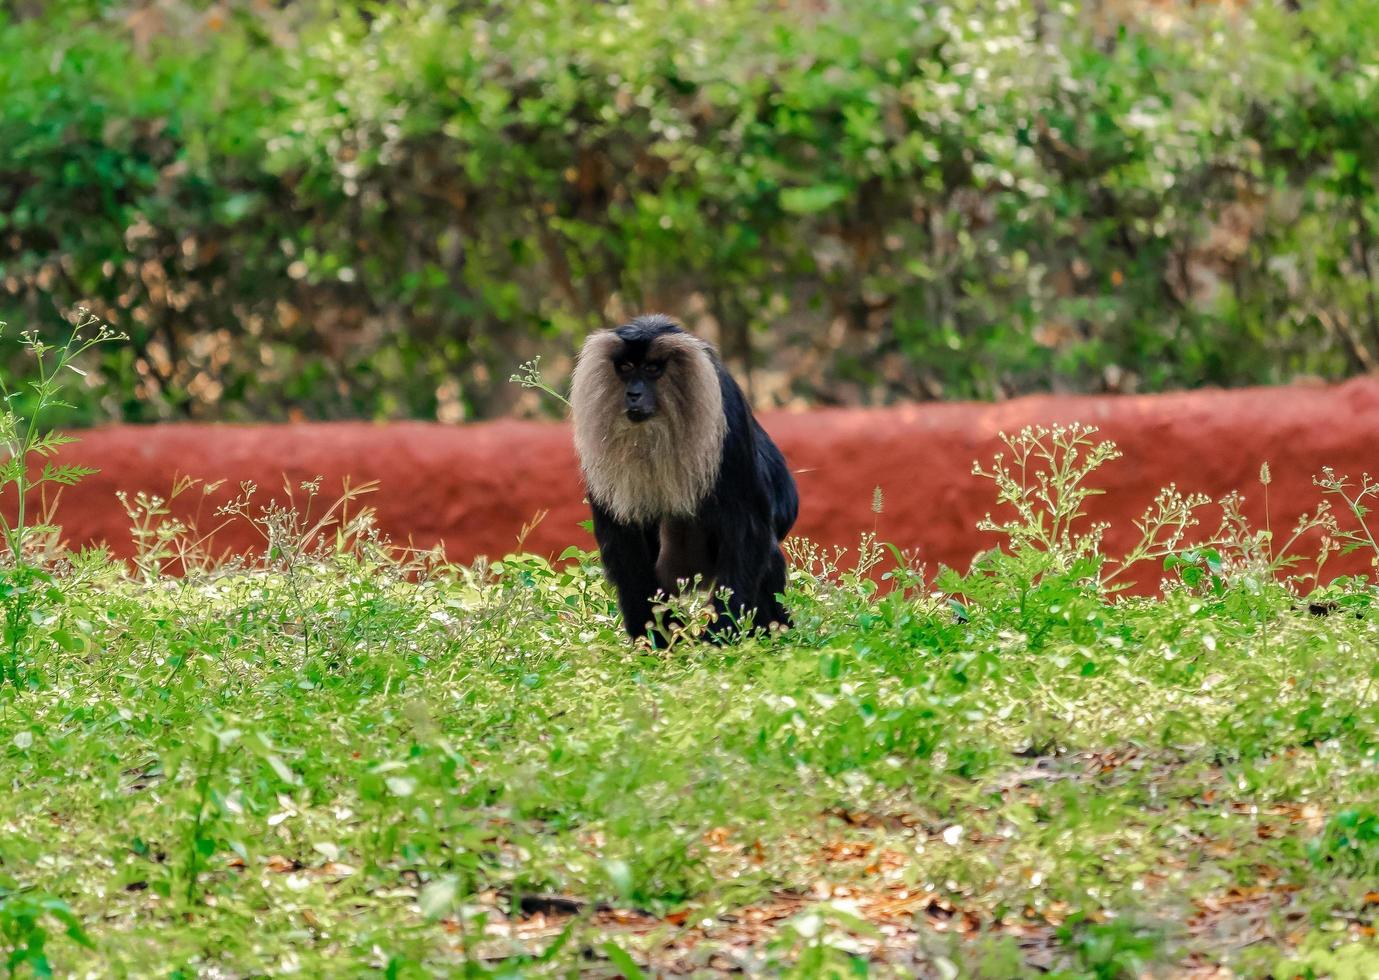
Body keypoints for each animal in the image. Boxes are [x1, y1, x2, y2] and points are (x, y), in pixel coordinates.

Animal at [565, 310, 799, 639]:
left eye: (652, 369)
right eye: (625, 368)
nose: (633, 394)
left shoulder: (727, 412)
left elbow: (747, 527)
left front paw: (721, 636)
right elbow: (623, 540)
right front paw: (652, 637)